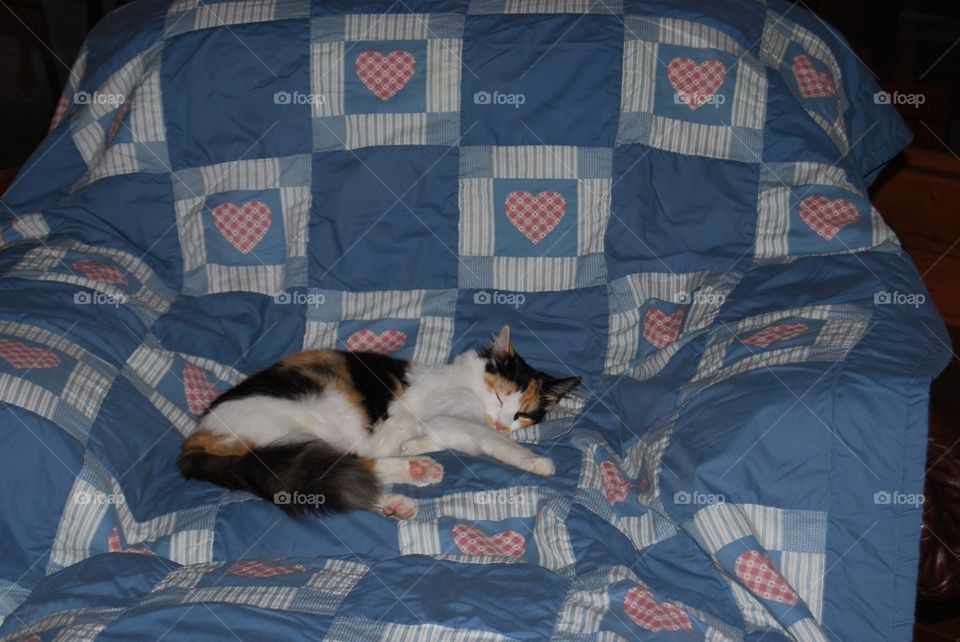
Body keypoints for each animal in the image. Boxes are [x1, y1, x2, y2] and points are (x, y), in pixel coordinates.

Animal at [179, 328, 576, 516]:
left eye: (522, 414)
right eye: (501, 397)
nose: (502, 422)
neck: (469, 384)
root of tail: (197, 436)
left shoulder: (441, 425)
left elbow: (443, 438)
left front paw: (412, 445)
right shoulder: (450, 415)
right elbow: (487, 439)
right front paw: (537, 461)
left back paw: (406, 482)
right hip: (305, 425)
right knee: (343, 467)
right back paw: (410, 475)